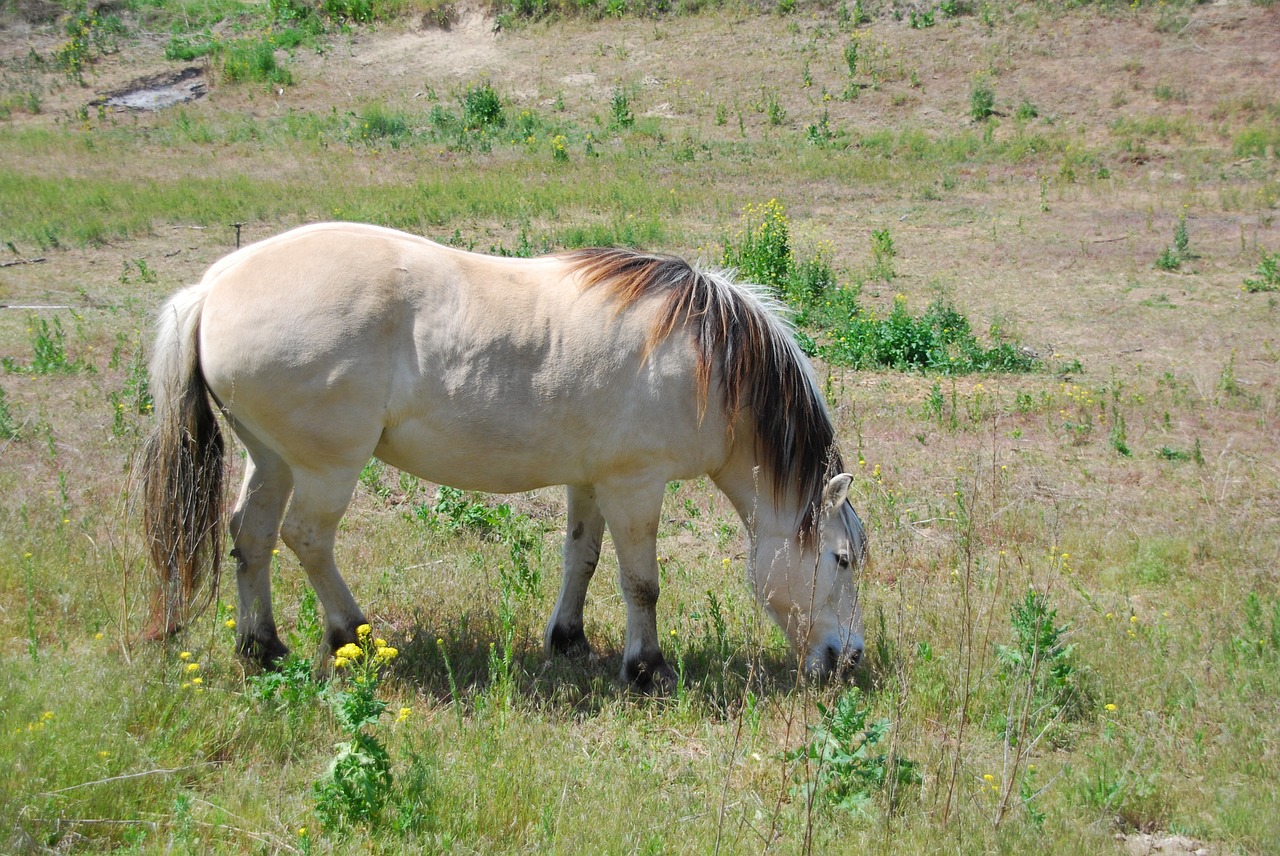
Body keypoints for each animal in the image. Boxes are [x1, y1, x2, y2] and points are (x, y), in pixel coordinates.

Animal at [137, 220, 870, 685]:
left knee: (251, 535)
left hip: (273, 459)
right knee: (306, 538)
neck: (702, 359)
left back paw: (261, 647)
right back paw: (350, 634)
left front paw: (569, 641)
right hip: (325, 467)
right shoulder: (636, 483)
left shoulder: (590, 480)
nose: (849, 659)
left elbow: (581, 558)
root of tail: (215, 286)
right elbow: (641, 582)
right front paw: (646, 668)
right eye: (841, 559)